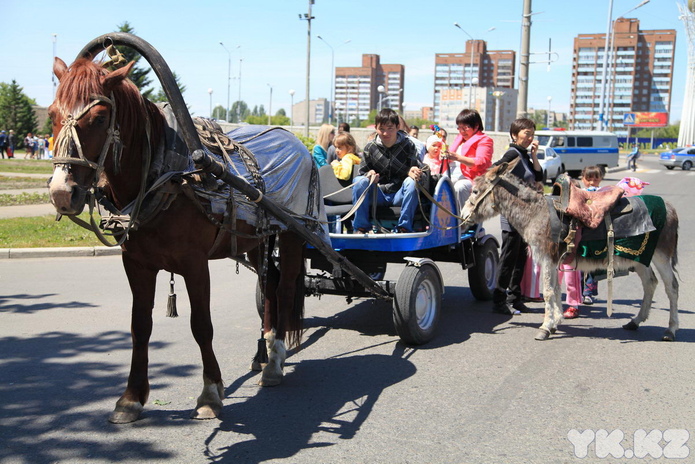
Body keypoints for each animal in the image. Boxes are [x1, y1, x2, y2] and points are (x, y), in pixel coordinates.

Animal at [45, 56, 312, 422]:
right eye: (52, 114)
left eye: (99, 118)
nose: (62, 193)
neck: (163, 176)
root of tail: (299, 143)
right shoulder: (136, 264)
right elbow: (140, 325)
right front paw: (131, 397)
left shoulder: (195, 264)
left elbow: (201, 325)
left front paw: (211, 392)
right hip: (257, 238)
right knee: (268, 285)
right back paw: (266, 351)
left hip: (290, 233)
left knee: (284, 288)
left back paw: (274, 361)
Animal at [462, 161, 680, 342]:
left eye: (475, 191)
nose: (463, 216)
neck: (536, 213)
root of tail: (670, 207)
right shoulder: (553, 260)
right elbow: (557, 289)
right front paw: (555, 322)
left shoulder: (547, 257)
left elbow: (549, 291)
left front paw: (545, 327)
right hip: (640, 256)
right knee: (650, 283)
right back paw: (635, 321)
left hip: (661, 255)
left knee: (672, 287)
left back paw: (670, 331)